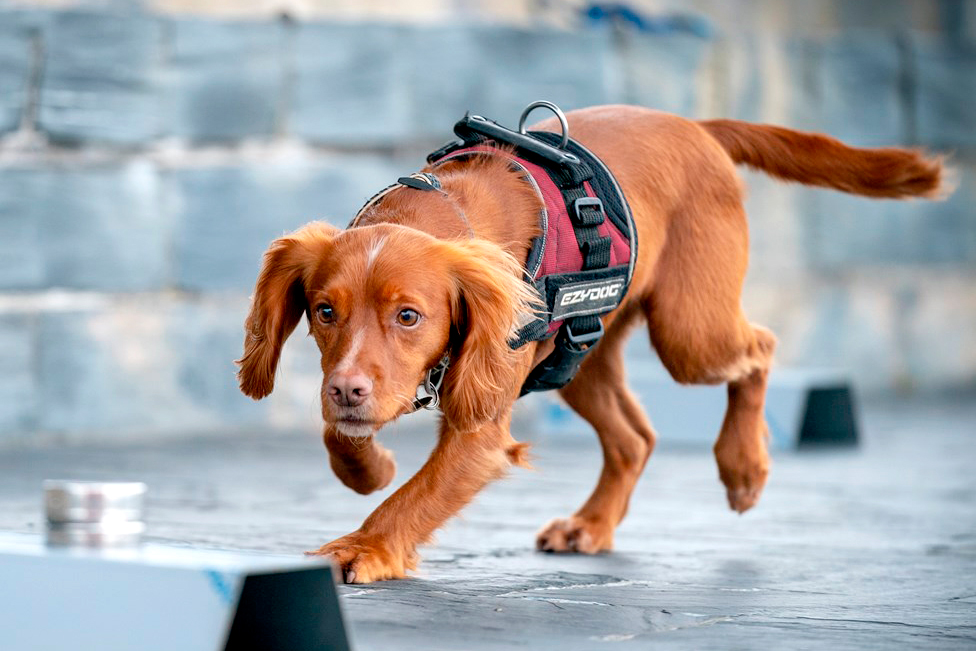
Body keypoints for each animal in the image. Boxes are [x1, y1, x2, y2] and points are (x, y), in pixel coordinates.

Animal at [236, 104, 944, 584]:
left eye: (409, 316)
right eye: (324, 311)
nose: (346, 389)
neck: (439, 215)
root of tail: (695, 126)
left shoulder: (480, 427)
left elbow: (415, 497)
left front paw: (364, 547)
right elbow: (344, 437)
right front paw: (370, 469)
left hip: (691, 332)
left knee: (761, 348)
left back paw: (744, 467)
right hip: (580, 357)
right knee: (635, 438)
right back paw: (593, 525)